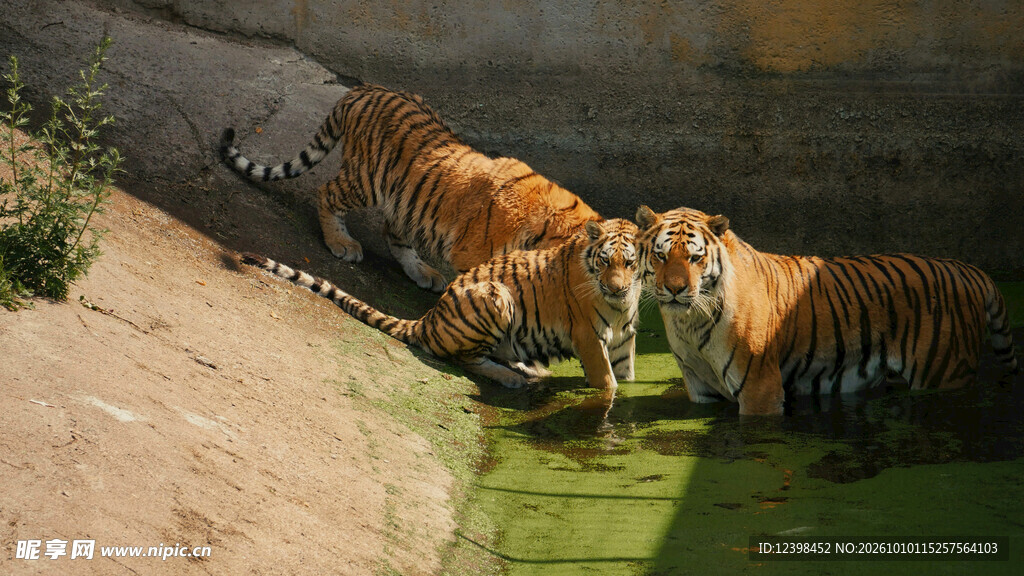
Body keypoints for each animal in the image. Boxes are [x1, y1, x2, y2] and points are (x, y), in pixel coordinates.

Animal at [221, 83, 602, 292]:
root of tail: (365, 88)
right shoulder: (472, 256)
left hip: (408, 200)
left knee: (394, 233)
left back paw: (423, 272)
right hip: (366, 180)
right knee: (326, 192)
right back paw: (342, 243)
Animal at [241, 218, 641, 389]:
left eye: (630, 263)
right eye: (605, 261)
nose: (617, 289)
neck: (622, 305)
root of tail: (426, 319)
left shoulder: (624, 336)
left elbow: (626, 374)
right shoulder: (588, 336)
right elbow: (607, 382)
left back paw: (529, 369)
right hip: (494, 297)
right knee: (463, 359)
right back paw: (513, 378)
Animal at [635, 205, 1020, 416]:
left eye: (694, 258)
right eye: (661, 255)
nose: (675, 289)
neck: (689, 322)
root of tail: (968, 269)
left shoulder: (761, 389)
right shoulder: (701, 388)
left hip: (943, 372)